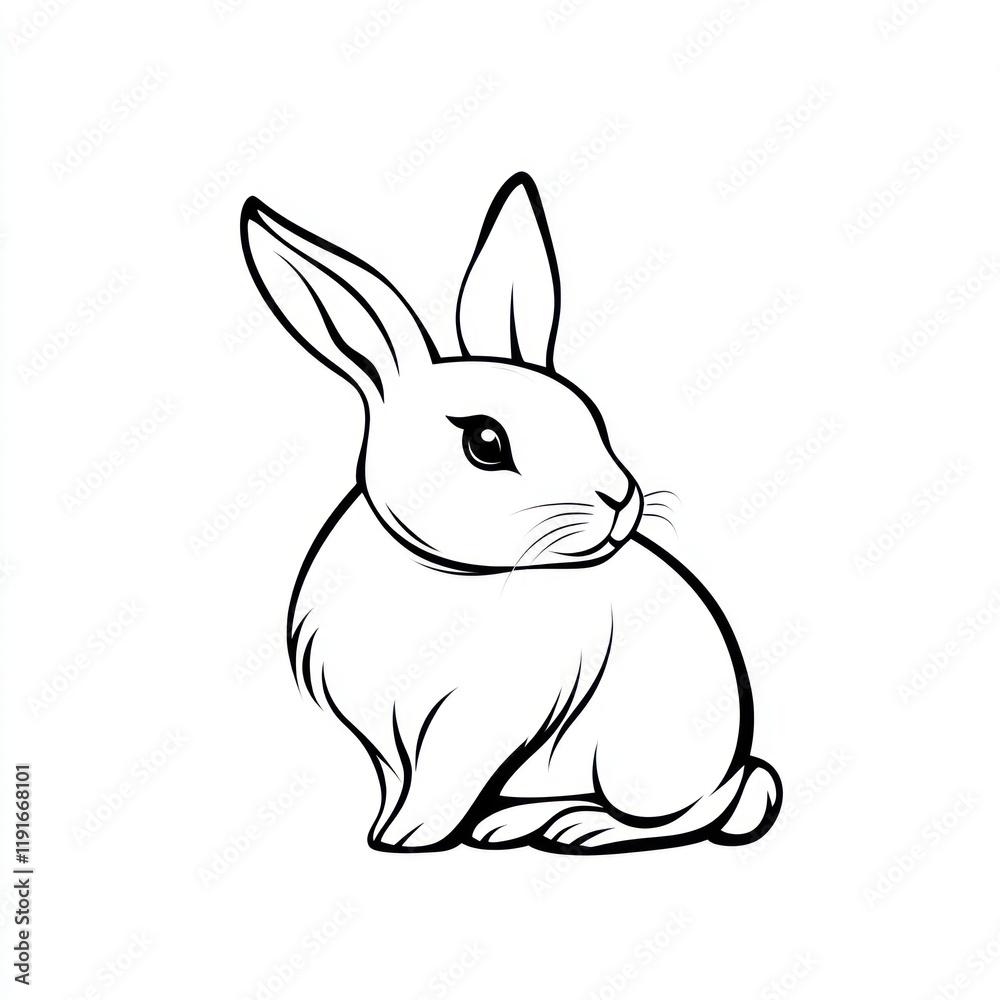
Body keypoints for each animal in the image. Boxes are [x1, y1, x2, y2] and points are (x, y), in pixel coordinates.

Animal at [240, 173, 782, 854]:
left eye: (589, 414)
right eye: (485, 442)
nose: (620, 497)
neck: (451, 572)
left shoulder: (481, 721)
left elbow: (443, 781)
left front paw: (407, 838)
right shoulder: (385, 739)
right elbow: (397, 778)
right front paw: (384, 830)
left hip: (636, 760)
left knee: (694, 811)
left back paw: (577, 828)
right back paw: (512, 823)